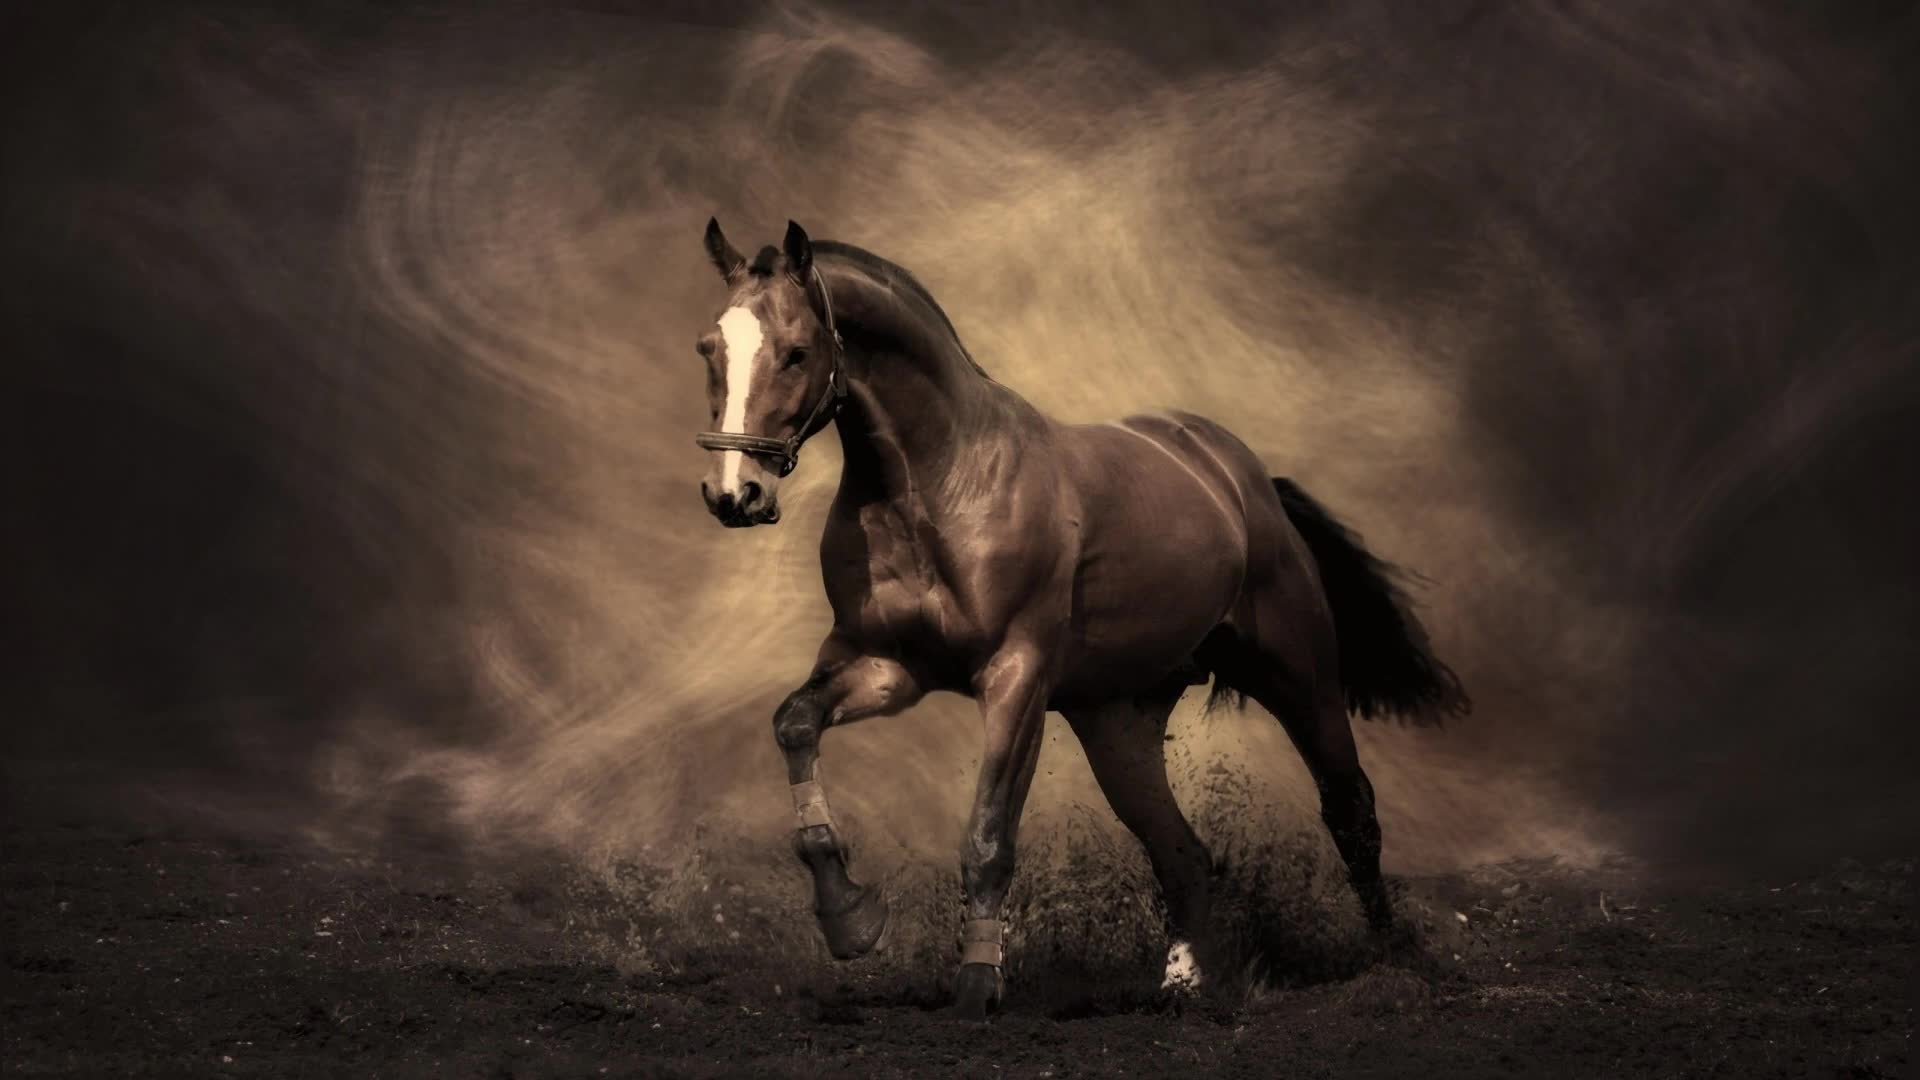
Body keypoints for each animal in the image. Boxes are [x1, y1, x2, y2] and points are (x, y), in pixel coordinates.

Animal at [689, 218, 1470, 1019]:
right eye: (710, 348)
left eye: (796, 352)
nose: (734, 494)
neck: (938, 486)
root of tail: (1244, 480)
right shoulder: (884, 667)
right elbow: (795, 724)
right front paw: (850, 920)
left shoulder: (1016, 678)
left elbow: (988, 837)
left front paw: (978, 985)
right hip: (1117, 724)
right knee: (1182, 852)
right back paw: (1184, 985)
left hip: (1298, 676)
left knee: (1351, 811)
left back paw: (1392, 962)